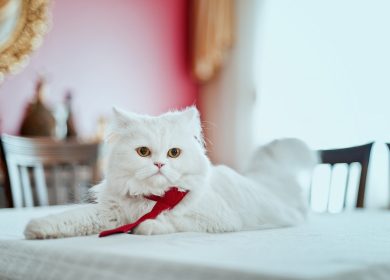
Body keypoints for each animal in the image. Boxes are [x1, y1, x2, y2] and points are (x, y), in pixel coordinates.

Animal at [23, 106, 316, 240]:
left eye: (173, 153)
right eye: (143, 152)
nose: (159, 165)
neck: (152, 198)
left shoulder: (219, 220)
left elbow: (171, 221)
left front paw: (145, 226)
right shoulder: (110, 214)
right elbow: (70, 218)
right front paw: (35, 229)